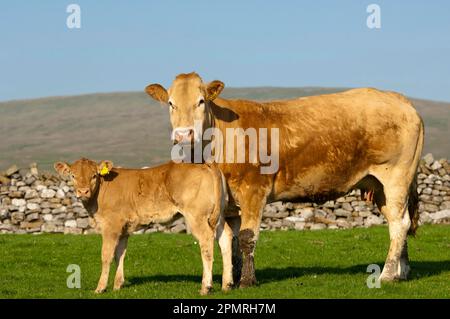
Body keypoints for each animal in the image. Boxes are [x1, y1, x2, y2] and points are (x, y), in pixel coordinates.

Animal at [53, 159, 232, 296]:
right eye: (73, 175)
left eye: (94, 175)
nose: (83, 192)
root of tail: (207, 163)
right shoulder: (124, 229)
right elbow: (120, 255)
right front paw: (118, 285)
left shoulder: (111, 226)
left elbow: (106, 255)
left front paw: (100, 288)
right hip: (219, 215)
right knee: (226, 238)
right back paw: (227, 284)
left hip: (196, 216)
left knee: (206, 241)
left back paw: (206, 287)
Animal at [146, 72, 424, 288]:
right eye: (170, 103)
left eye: (201, 101)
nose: (183, 134)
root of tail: (398, 99)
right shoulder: (230, 204)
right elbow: (231, 240)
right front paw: (232, 278)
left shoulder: (253, 190)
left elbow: (246, 237)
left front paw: (247, 281)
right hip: (379, 186)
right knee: (397, 222)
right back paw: (402, 271)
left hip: (396, 177)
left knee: (399, 223)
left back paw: (387, 275)